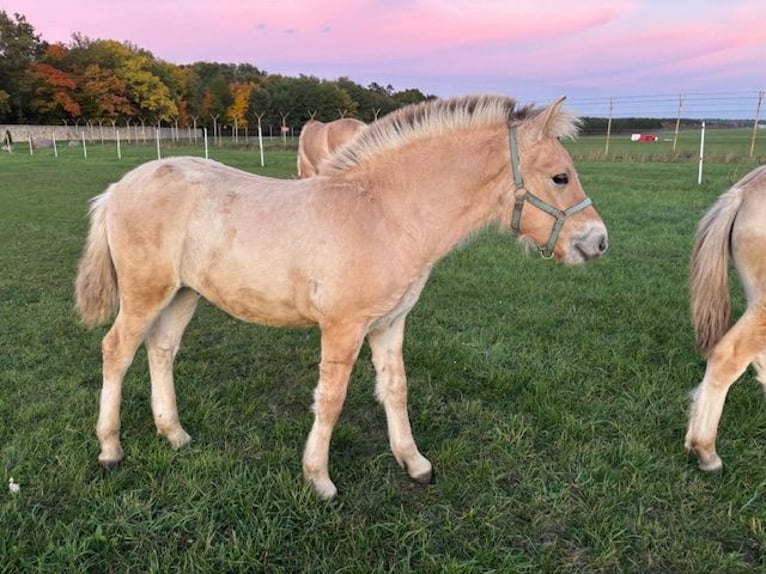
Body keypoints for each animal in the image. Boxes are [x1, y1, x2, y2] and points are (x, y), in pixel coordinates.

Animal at [75, 94, 608, 499]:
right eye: (560, 177)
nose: (598, 241)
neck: (385, 213)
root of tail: (118, 187)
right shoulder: (343, 327)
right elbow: (330, 399)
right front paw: (319, 480)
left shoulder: (390, 324)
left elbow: (395, 388)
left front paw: (415, 463)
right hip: (145, 292)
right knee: (116, 351)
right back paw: (110, 450)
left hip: (183, 293)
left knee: (161, 349)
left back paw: (175, 434)